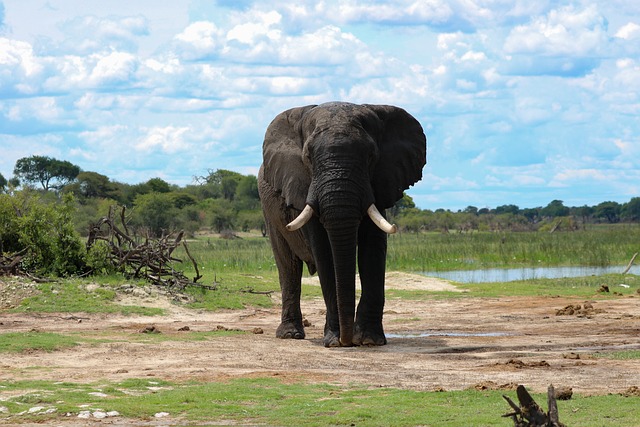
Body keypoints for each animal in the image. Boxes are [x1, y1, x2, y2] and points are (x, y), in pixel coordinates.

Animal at [258, 103, 428, 348]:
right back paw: (290, 335)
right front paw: (334, 341)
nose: (347, 341)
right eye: (308, 157)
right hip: (269, 212)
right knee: (288, 267)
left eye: (371, 156)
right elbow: (325, 253)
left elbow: (373, 250)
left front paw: (369, 340)